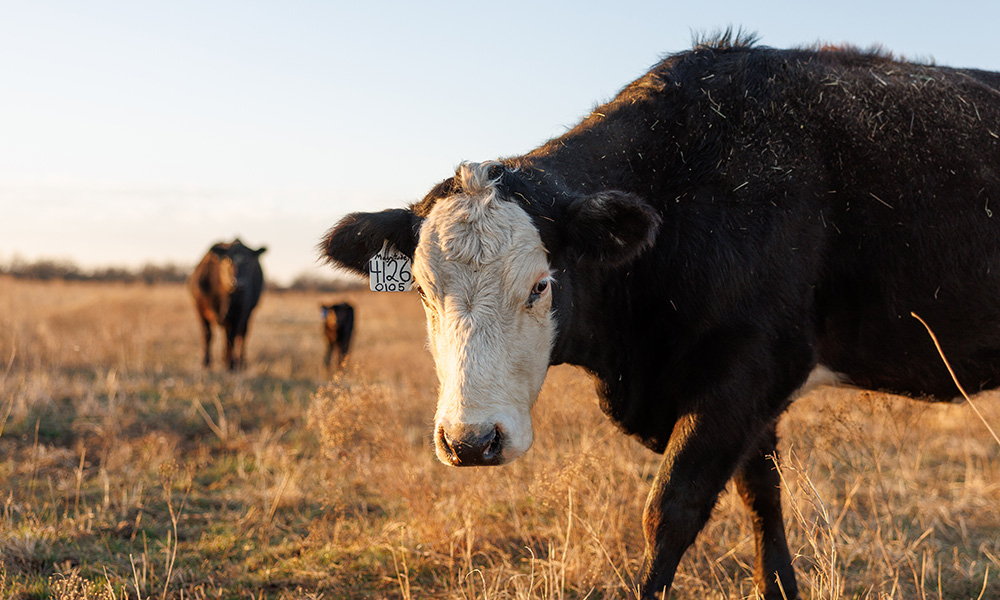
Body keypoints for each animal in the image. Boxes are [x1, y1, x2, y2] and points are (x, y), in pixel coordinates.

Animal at [189, 239, 266, 371]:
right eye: (228, 260)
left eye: (248, 261)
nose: (238, 284)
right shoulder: (199, 310)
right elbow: (207, 335)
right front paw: (205, 362)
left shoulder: (239, 313)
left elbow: (232, 337)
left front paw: (230, 364)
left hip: (248, 315)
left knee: (241, 336)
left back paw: (240, 362)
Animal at [320, 34, 1000, 599]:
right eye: (423, 291)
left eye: (541, 285)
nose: (470, 441)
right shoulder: (743, 397)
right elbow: (763, 500)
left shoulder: (749, 371)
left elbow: (670, 510)